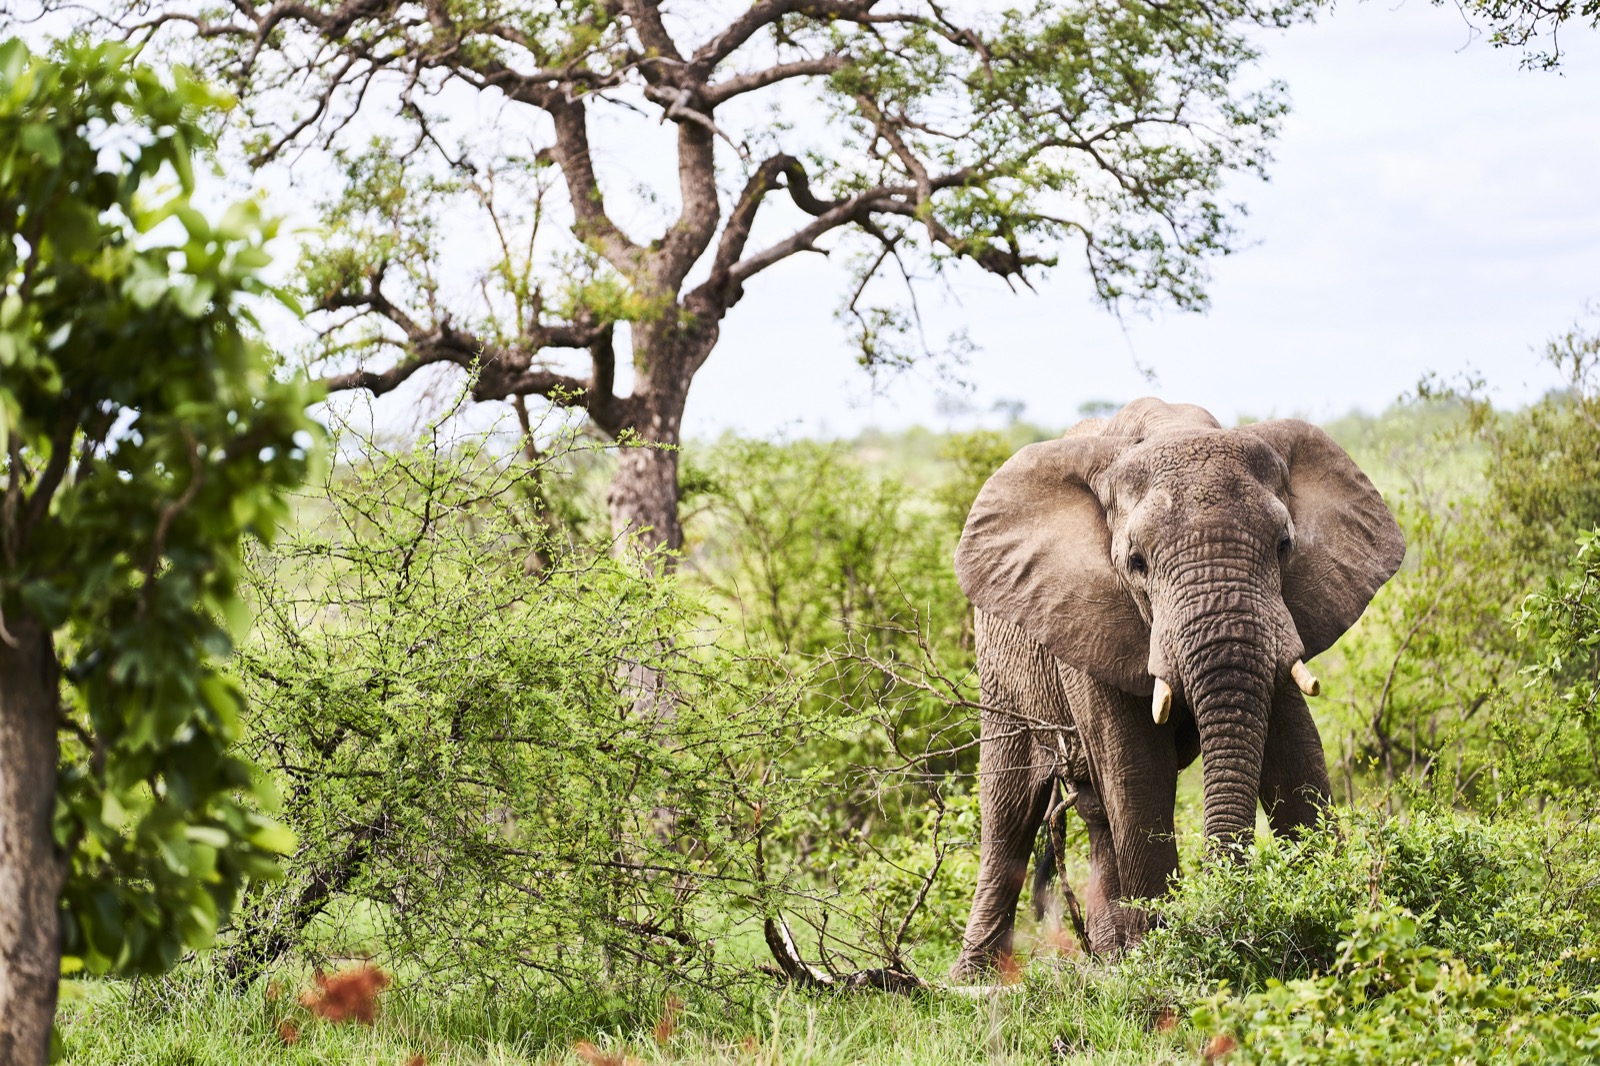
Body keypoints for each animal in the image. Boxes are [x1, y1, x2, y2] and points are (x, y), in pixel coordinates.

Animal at [947, 396, 1401, 973]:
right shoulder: (1092, 619)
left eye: (1284, 545)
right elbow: (1138, 768)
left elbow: (1295, 754)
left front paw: (1341, 918)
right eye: (1136, 563)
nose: (1226, 905)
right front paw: (1166, 957)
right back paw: (975, 976)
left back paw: (1109, 956)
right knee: (1008, 812)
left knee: (1096, 815)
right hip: (1002, 666)